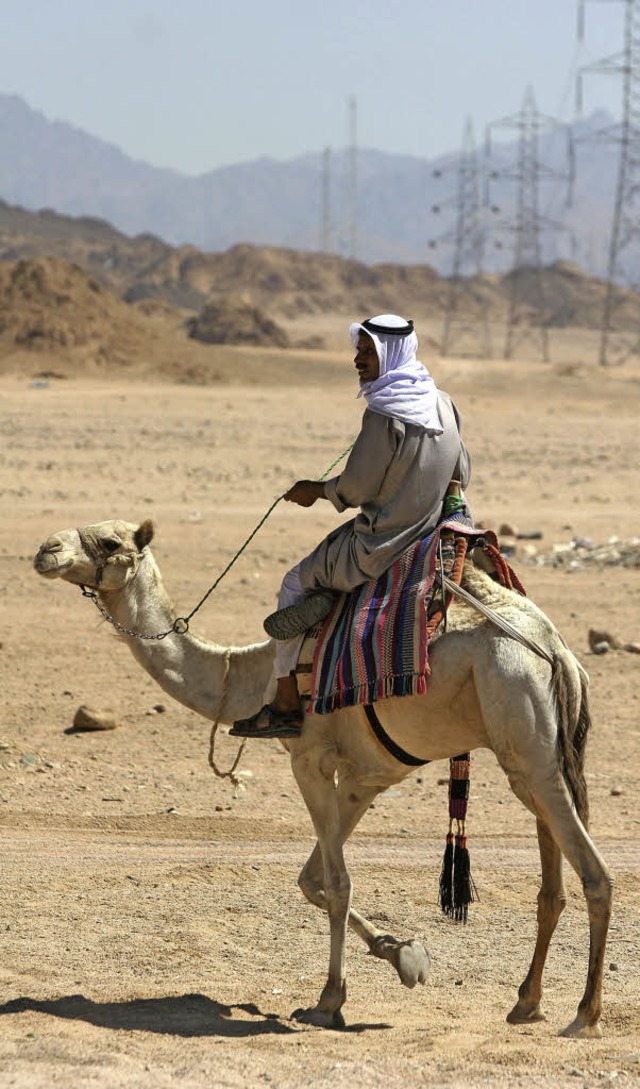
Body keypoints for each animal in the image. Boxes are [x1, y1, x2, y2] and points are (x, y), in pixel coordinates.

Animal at [32, 518, 613, 1036]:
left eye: (110, 541)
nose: (46, 549)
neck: (248, 677)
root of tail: (557, 652)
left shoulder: (310, 759)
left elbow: (336, 883)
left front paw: (329, 1001)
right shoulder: (366, 776)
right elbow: (311, 880)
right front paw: (404, 955)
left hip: (525, 736)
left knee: (595, 875)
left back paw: (584, 1015)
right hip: (539, 757)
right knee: (551, 886)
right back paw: (526, 1003)